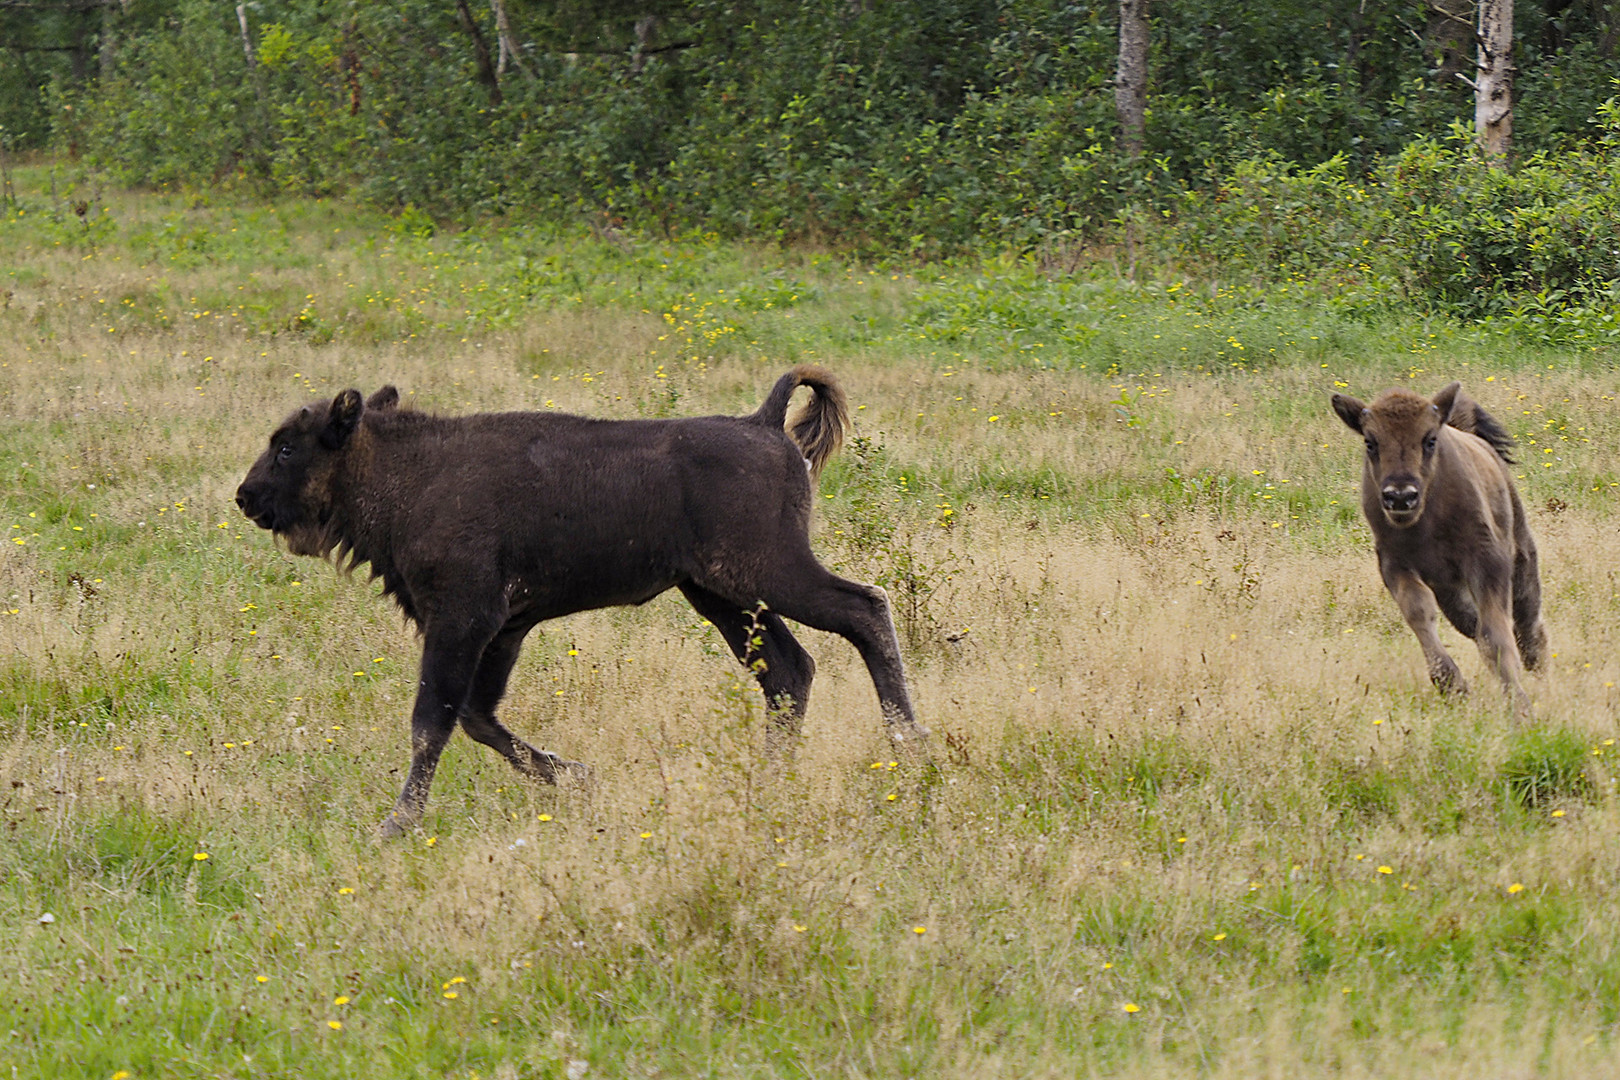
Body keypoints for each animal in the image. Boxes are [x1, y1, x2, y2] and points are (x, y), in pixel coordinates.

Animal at [236, 367, 933, 841]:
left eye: (289, 446)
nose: (245, 497)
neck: (405, 469)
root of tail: (762, 422)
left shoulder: (463, 622)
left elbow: (432, 723)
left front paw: (395, 825)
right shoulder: (502, 631)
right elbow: (479, 718)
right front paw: (580, 777)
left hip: (770, 573)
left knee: (863, 610)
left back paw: (909, 745)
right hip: (721, 596)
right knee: (789, 670)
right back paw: (771, 782)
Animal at [1334, 380, 1548, 718]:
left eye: (1430, 439)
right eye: (1370, 442)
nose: (1400, 496)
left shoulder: (1487, 561)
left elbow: (1495, 635)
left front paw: (1520, 708)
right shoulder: (1396, 566)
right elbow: (1420, 614)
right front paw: (1452, 686)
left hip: (1522, 555)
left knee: (1527, 622)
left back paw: (1540, 677)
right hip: (1451, 590)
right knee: (1474, 625)